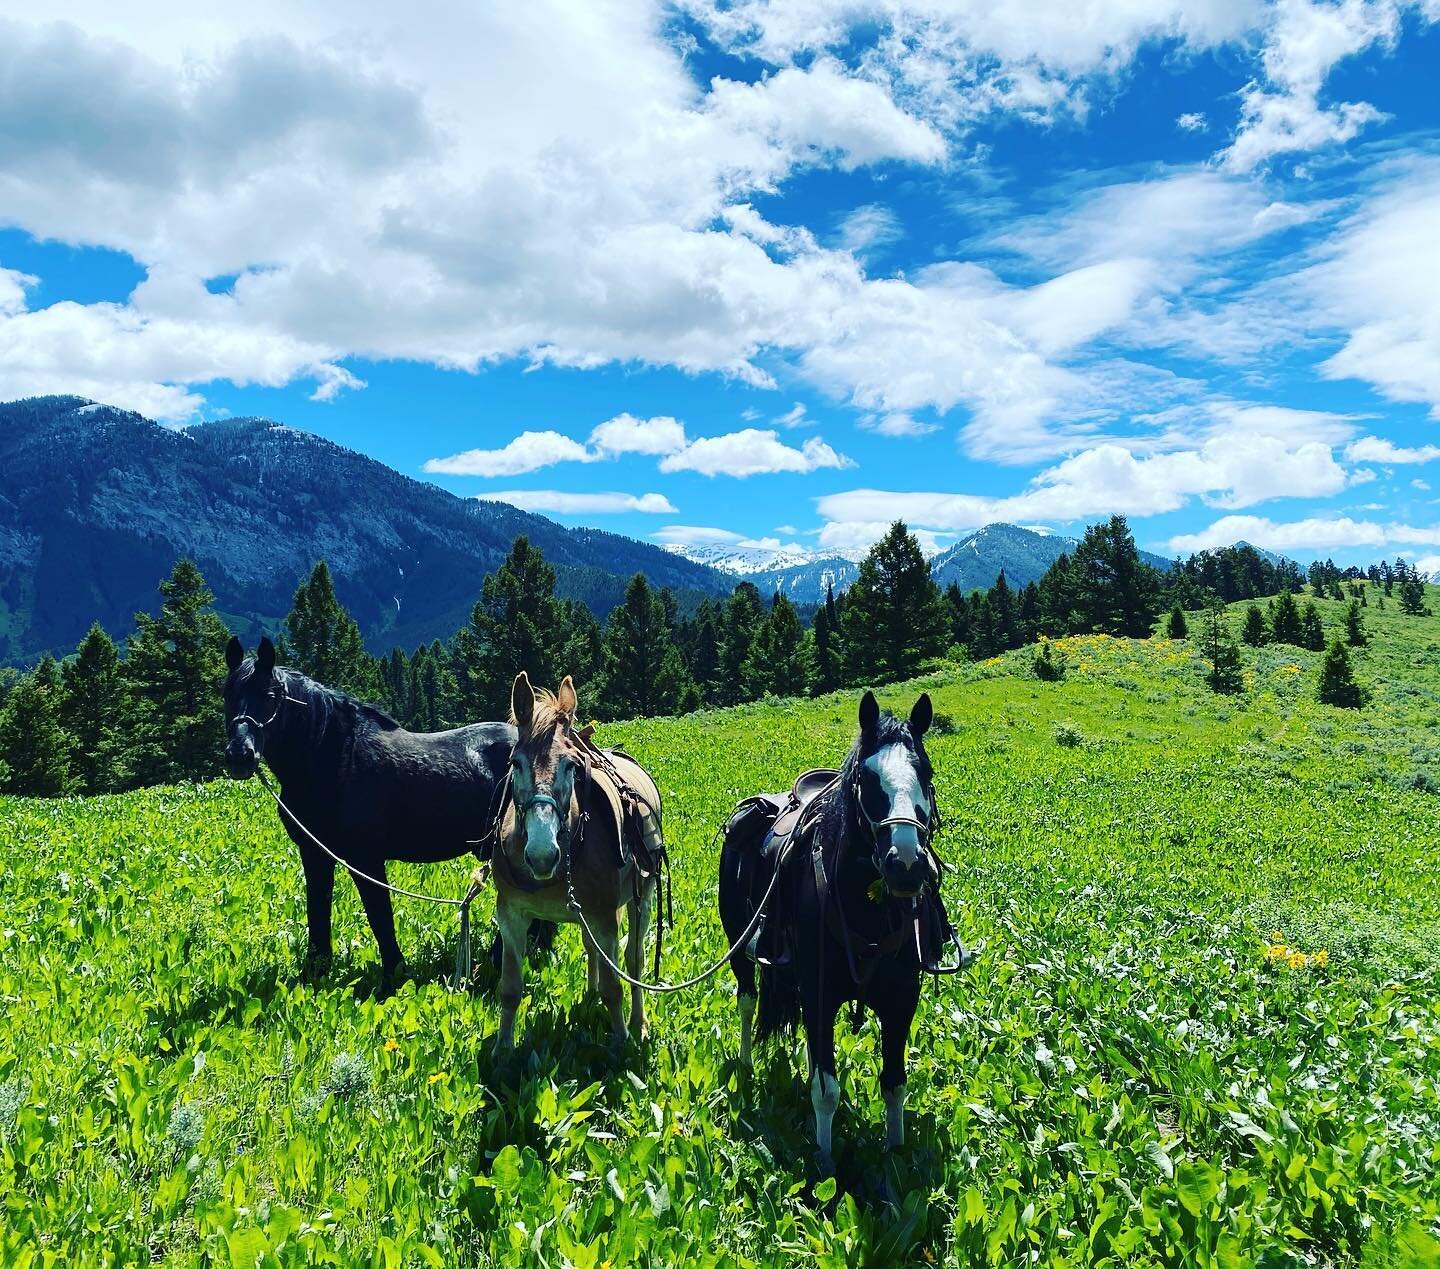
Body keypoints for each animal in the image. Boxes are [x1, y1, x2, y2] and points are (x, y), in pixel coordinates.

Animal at [221, 633, 515, 979]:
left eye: (268, 696)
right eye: (227, 694)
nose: (240, 756)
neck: (334, 758)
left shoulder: (365, 859)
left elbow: (379, 916)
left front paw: (393, 976)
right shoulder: (315, 854)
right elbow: (318, 910)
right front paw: (315, 973)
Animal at [720, 688, 956, 1175]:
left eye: (926, 773)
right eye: (867, 778)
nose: (907, 865)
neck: (866, 910)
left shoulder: (901, 999)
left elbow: (894, 1082)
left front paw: (895, 1156)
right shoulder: (820, 994)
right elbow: (826, 1090)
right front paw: (825, 1163)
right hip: (739, 953)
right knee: (748, 1004)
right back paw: (748, 1065)